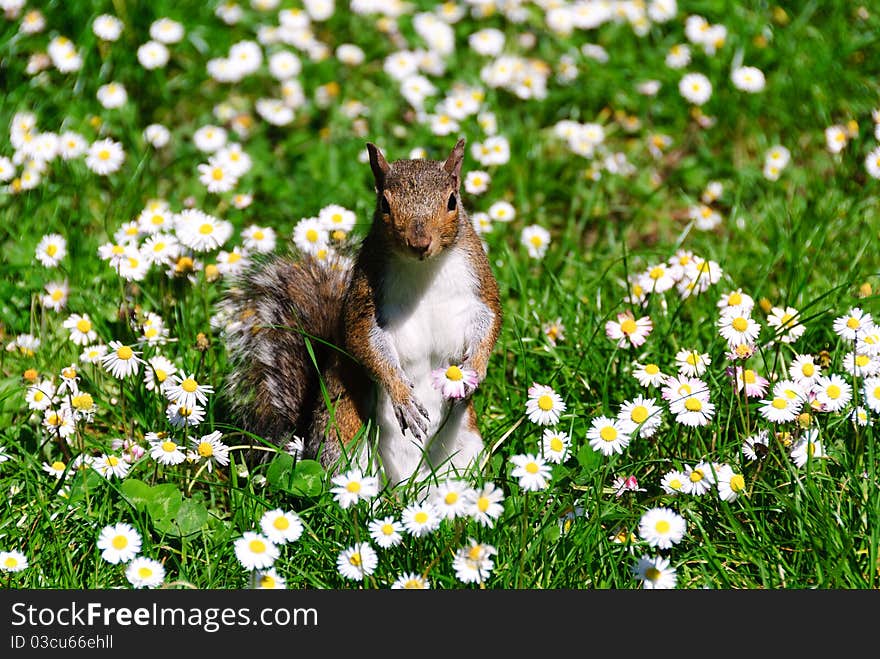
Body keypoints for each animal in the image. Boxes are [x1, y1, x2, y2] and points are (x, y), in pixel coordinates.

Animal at [218, 139, 502, 488]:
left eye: (452, 202)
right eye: (384, 204)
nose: (419, 242)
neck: (425, 270)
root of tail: (406, 484)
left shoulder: (480, 286)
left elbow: (490, 321)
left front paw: (475, 369)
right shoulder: (363, 302)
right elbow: (364, 344)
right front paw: (403, 398)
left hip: (467, 446)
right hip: (345, 441)